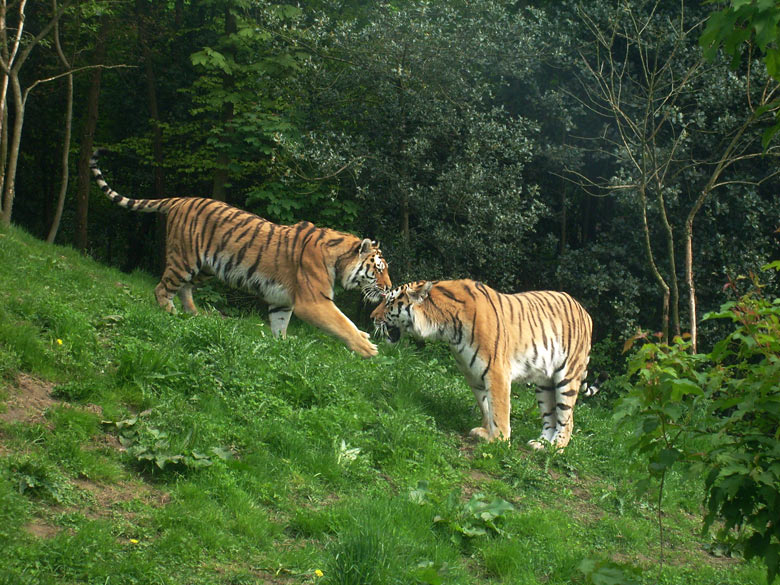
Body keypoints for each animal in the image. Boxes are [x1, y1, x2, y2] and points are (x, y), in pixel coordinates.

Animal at [91, 149, 394, 356]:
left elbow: (280, 324)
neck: (338, 259)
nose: (390, 288)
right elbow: (343, 323)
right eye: (379, 269)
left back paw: (193, 315)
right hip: (184, 259)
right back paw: (170, 314)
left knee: (184, 288)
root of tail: (180, 199)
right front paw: (366, 347)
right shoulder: (314, 302)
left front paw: (282, 348)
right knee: (162, 288)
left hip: (205, 268)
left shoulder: (282, 301)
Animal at [370, 278, 592, 448]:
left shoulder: (497, 371)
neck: (445, 327)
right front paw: (486, 431)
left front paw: (499, 440)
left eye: (389, 302)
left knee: (567, 419)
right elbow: (486, 405)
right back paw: (540, 444)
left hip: (567, 377)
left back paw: (556, 447)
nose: (372, 317)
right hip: (544, 383)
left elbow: (499, 408)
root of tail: (585, 311)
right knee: (550, 417)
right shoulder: (473, 373)